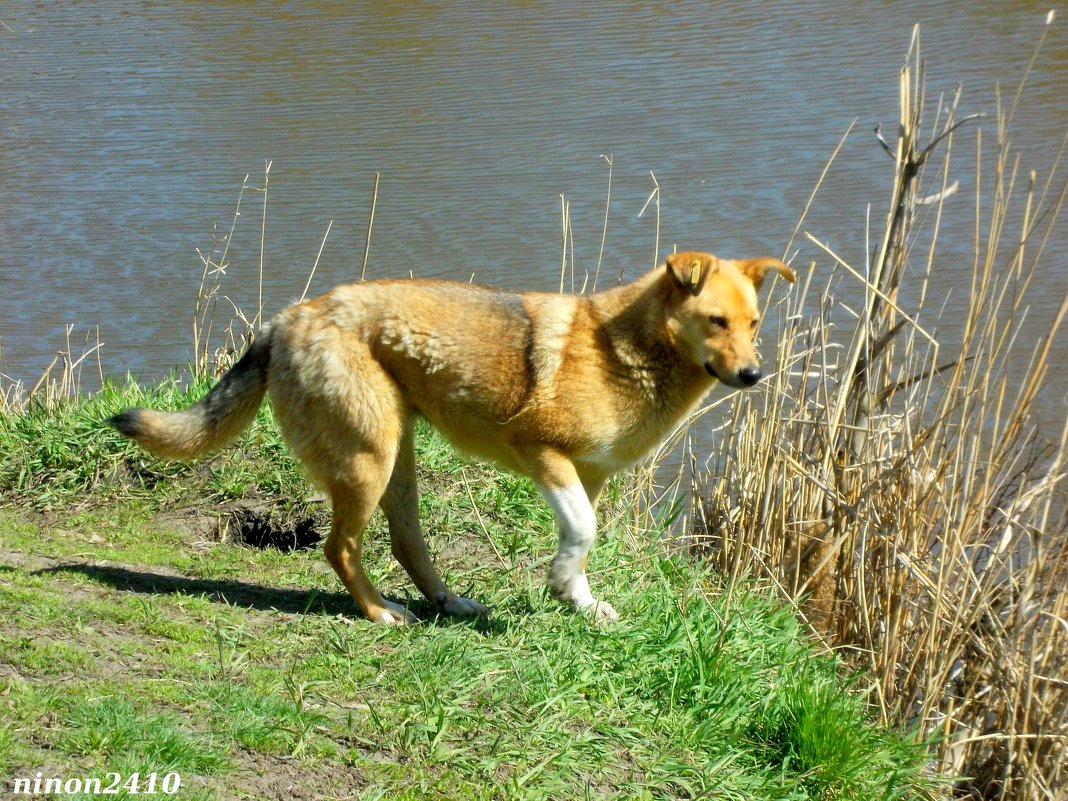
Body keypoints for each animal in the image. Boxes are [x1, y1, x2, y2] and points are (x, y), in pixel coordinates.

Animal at [108, 250, 794, 627]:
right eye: (716, 321)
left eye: (755, 323)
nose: (753, 375)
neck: (628, 351)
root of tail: (287, 319)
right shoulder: (540, 450)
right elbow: (583, 532)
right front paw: (561, 586)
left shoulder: (588, 475)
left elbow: (583, 538)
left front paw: (577, 599)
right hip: (368, 460)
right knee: (340, 548)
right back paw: (381, 613)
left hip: (396, 461)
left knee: (406, 541)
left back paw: (448, 602)